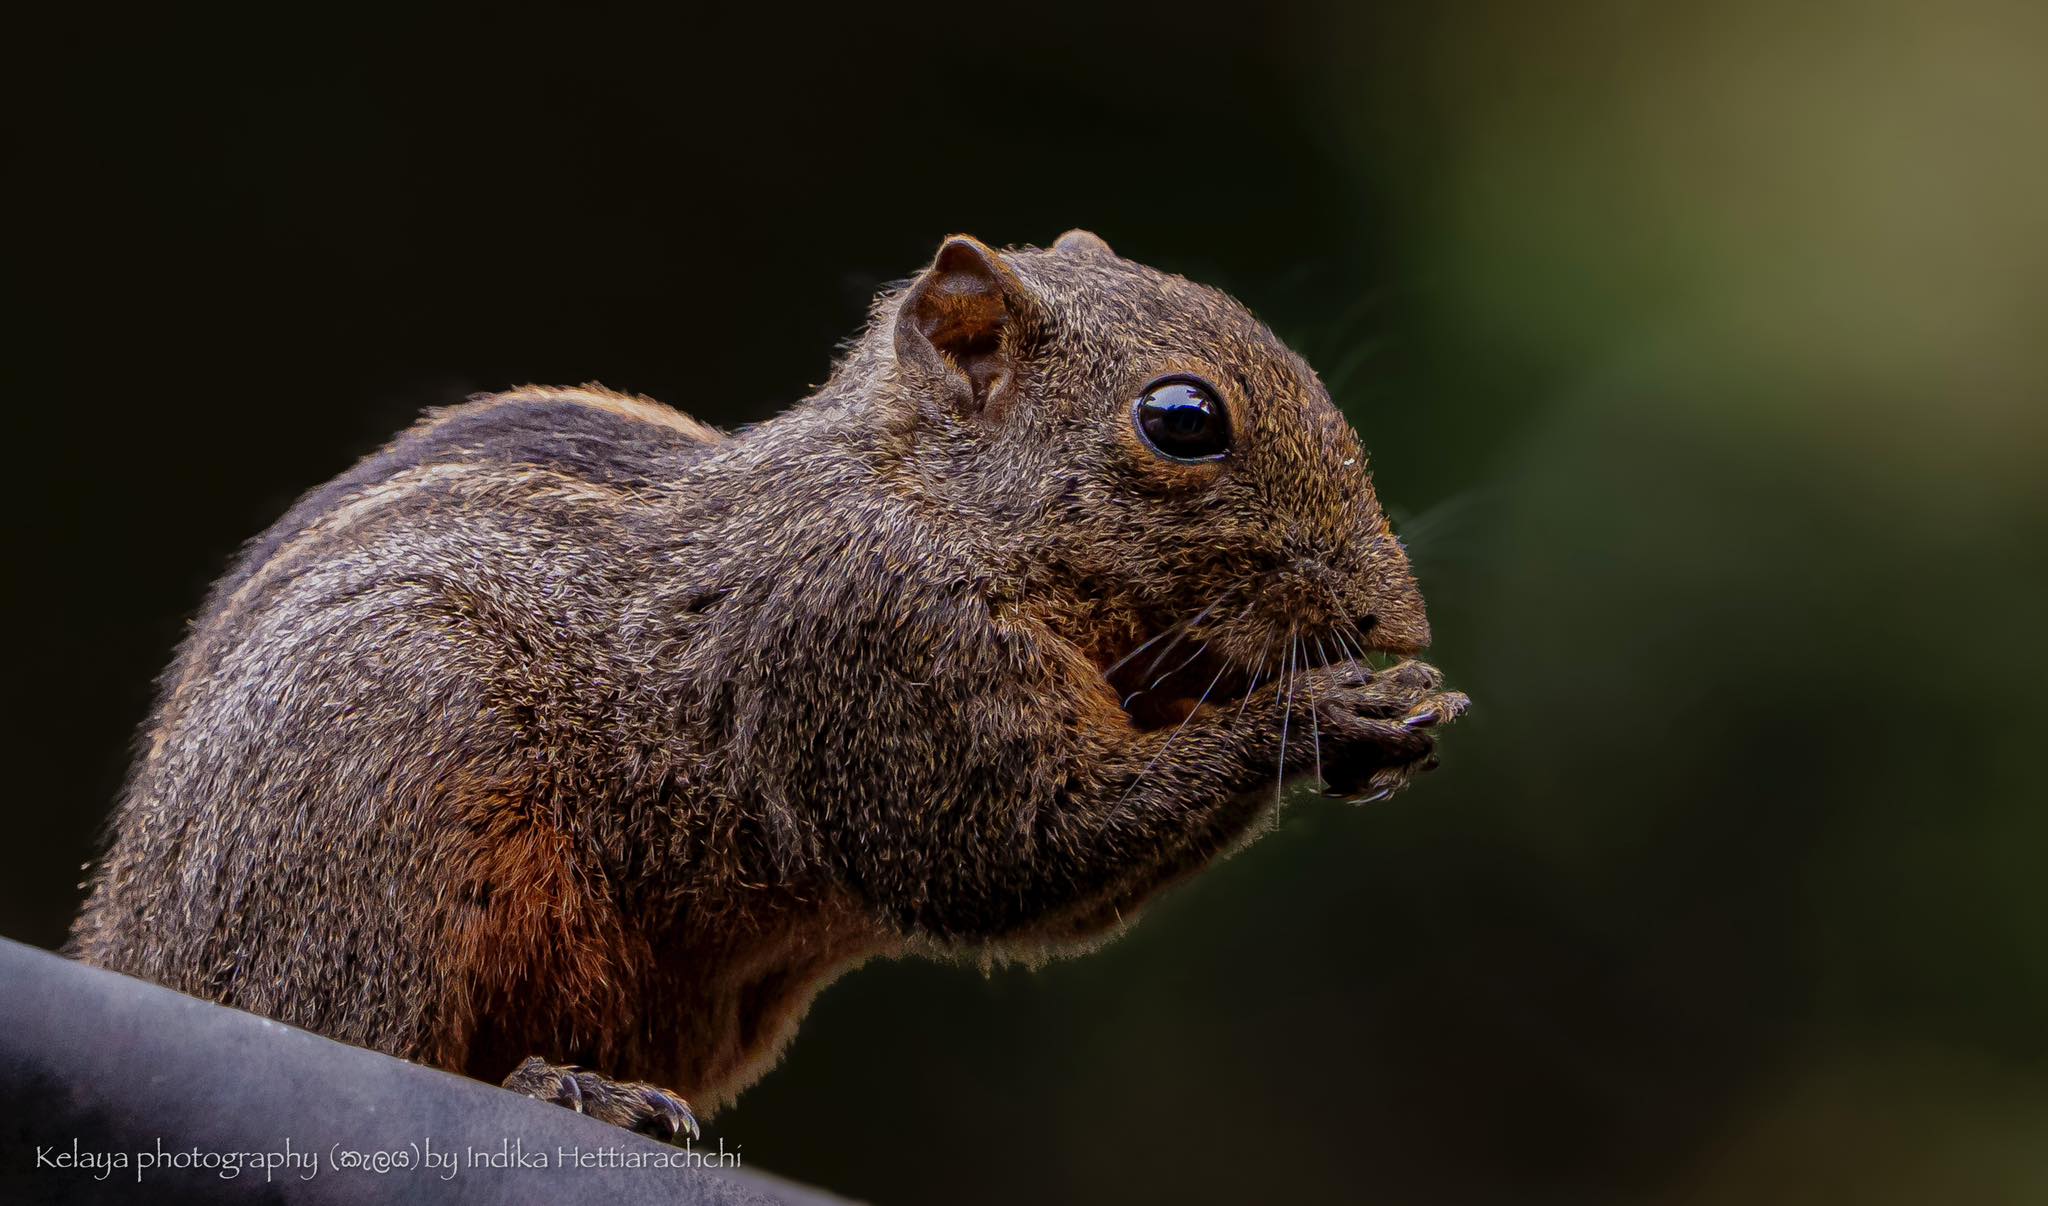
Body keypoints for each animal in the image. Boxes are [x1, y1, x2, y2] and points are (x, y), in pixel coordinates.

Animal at [68, 230, 1468, 1138]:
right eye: (1181, 419)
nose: (1394, 616)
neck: (936, 504)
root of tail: (138, 948)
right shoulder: (866, 644)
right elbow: (1007, 849)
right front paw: (1316, 715)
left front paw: (1389, 715)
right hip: (378, 811)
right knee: (349, 1023)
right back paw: (551, 1086)